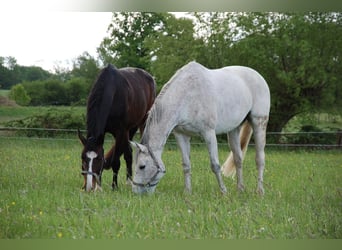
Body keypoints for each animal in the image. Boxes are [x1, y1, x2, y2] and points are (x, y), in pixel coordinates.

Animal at [131, 61, 270, 195]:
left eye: (142, 166)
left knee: (260, 159)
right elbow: (186, 165)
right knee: (238, 159)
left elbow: (215, 165)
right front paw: (187, 192)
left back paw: (260, 191)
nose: (136, 192)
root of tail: (258, 76)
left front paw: (224, 192)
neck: (187, 95)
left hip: (259, 123)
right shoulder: (181, 135)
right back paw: (240, 190)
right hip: (234, 129)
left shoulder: (208, 133)